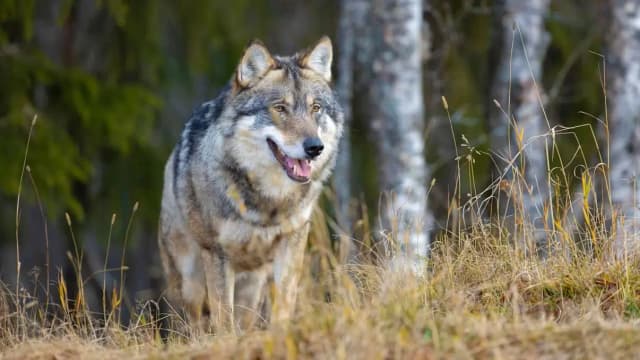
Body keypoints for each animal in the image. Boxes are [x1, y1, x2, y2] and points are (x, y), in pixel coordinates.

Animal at [158, 37, 342, 332]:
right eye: (280, 108)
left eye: (316, 108)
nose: (315, 147)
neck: (269, 202)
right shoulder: (217, 254)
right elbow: (223, 319)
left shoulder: (292, 244)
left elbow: (283, 305)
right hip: (189, 283)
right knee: (190, 324)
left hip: (251, 286)